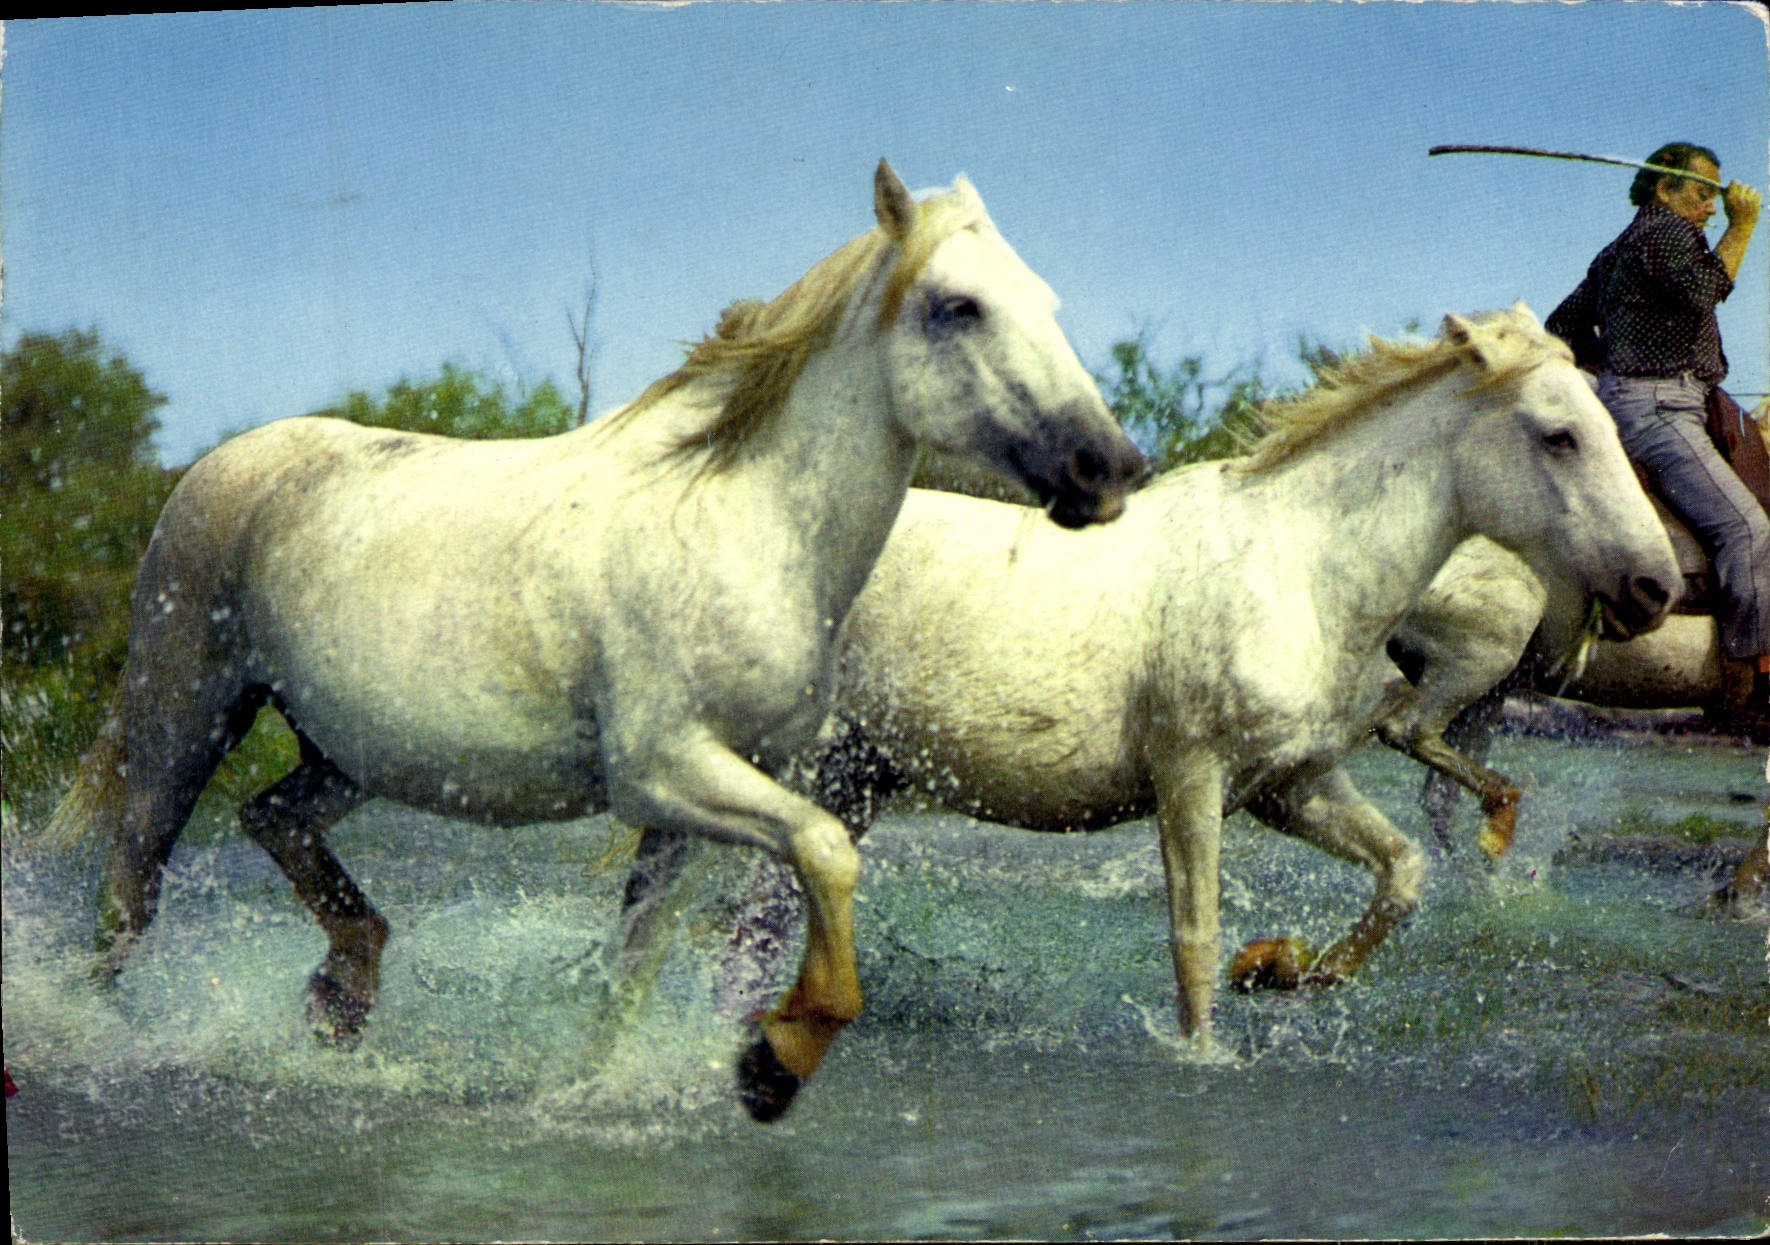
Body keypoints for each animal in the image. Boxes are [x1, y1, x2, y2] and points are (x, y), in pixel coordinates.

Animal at [43, 161, 1148, 1122]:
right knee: (127, 899)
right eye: (958, 307)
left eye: (1045, 302)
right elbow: (825, 854)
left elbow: (638, 961)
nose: (1110, 469)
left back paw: (342, 994)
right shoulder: (664, 772)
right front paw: (777, 1062)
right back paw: (106, 1044)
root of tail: (220, 466)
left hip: (348, 757)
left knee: (269, 819)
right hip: (187, 720)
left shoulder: (709, 797)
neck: (739, 520)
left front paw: (611, 1079)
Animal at [622, 303, 1680, 1055]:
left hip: (851, 784)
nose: (1656, 586)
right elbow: (1194, 944)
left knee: (734, 933)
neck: (1298, 567)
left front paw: (1286, 969)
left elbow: (1402, 874)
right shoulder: (1190, 778)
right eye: (1560, 434)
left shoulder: (1290, 785)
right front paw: (1211, 1045)